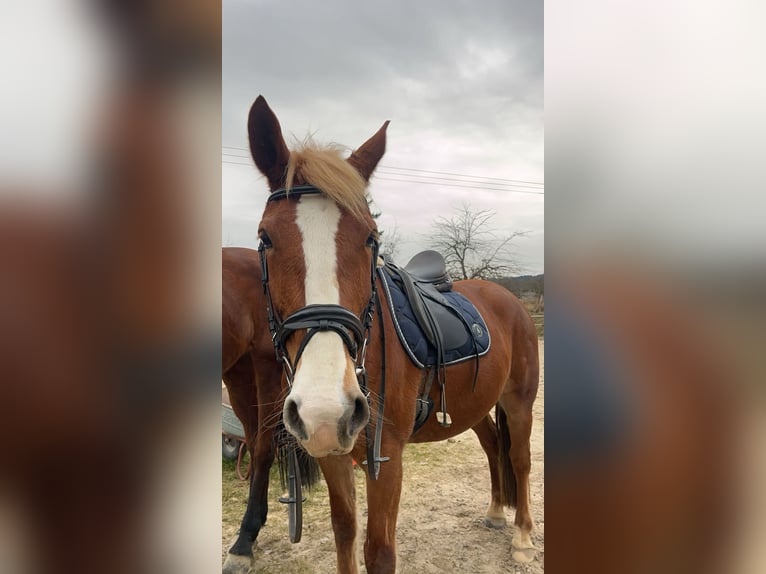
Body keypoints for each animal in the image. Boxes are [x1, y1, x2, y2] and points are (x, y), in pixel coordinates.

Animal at [244, 95, 540, 573]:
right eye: (265, 238)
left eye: (370, 238)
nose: (327, 407)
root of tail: (507, 297)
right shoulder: (332, 450)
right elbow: (345, 531)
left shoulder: (390, 455)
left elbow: (379, 551)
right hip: (475, 405)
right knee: (493, 445)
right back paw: (497, 512)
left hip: (519, 400)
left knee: (521, 458)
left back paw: (523, 538)